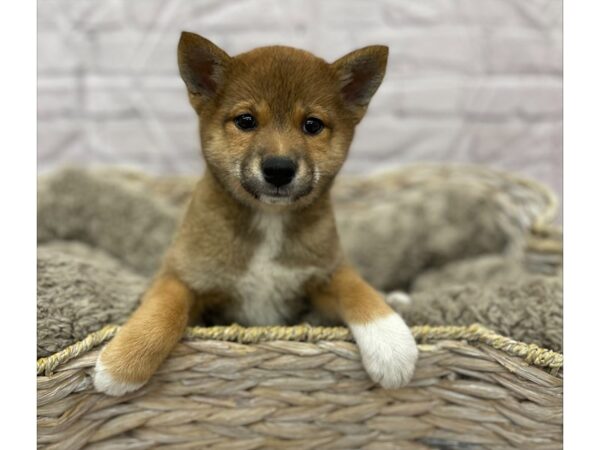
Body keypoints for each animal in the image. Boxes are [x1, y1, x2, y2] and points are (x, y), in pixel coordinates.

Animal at [94, 31, 418, 396]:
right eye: (246, 121)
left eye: (312, 125)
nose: (279, 169)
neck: (268, 220)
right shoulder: (180, 275)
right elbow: (164, 309)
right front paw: (122, 363)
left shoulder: (328, 271)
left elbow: (358, 289)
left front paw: (393, 345)